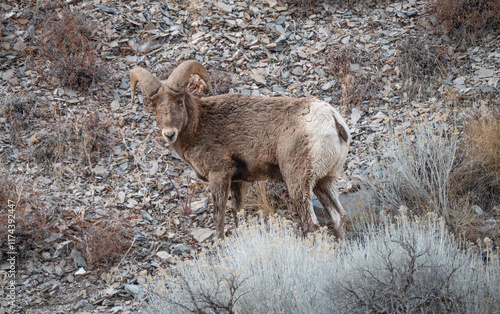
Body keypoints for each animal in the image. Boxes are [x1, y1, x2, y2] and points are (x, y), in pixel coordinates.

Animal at [133, 60, 352, 239]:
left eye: (179, 101)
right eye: (154, 105)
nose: (169, 134)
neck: (200, 125)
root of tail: (332, 119)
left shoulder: (219, 175)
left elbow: (219, 217)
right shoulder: (238, 181)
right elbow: (237, 213)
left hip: (299, 182)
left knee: (311, 225)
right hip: (324, 182)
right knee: (338, 217)